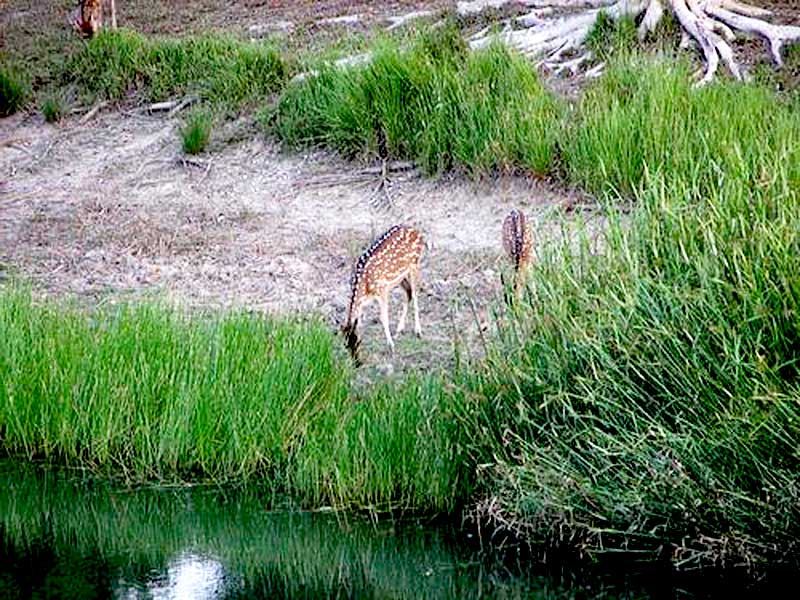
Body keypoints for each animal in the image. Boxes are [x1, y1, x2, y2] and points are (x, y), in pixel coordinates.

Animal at [340, 225, 424, 364]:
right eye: (346, 344)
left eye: (357, 342)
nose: (357, 362)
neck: (365, 286)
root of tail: (418, 232)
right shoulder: (364, 301)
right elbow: (360, 321)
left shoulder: (383, 289)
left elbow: (383, 317)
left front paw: (391, 346)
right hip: (400, 277)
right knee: (409, 293)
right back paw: (399, 329)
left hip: (415, 265)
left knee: (416, 293)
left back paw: (418, 331)